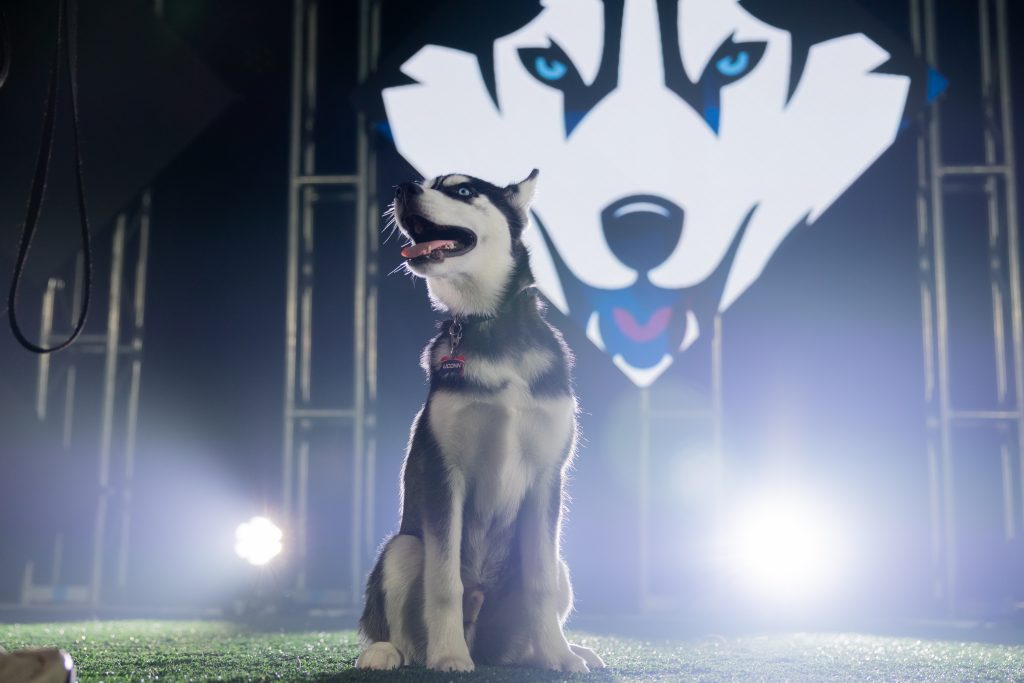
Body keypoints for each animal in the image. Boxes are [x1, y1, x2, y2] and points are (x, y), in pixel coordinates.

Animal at [356, 171, 602, 671]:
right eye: (426, 182)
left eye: (463, 190)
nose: (402, 188)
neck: (493, 327)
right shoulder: (442, 472)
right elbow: (444, 582)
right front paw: (450, 656)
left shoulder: (549, 476)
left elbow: (540, 582)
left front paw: (560, 656)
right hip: (403, 548)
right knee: (402, 628)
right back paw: (389, 651)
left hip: (558, 568)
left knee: (545, 591)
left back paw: (561, 649)